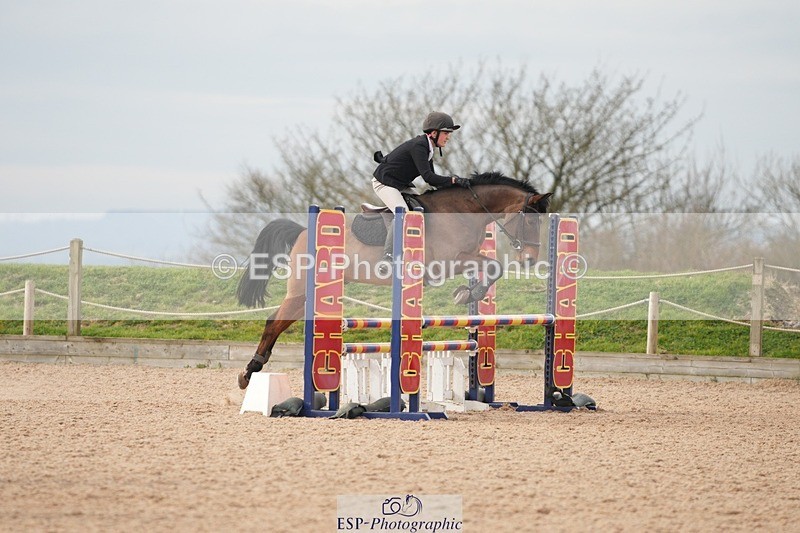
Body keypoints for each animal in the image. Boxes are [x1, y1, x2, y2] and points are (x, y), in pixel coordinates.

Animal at [235, 171, 552, 389]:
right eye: (531, 220)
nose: (530, 260)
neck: (463, 213)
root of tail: (302, 231)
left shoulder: (465, 257)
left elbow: (492, 267)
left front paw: (469, 292)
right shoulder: (446, 262)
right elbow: (494, 265)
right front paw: (467, 293)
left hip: (310, 293)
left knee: (278, 322)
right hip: (301, 290)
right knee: (273, 323)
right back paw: (248, 372)